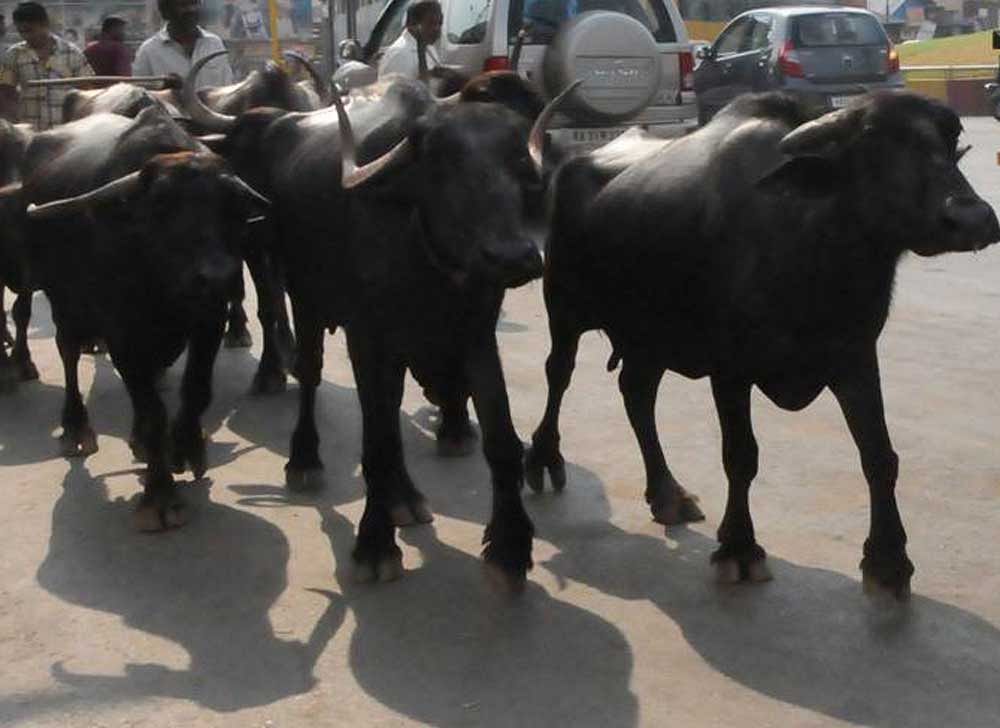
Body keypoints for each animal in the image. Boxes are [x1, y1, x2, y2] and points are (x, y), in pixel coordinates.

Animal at [528, 91, 996, 600]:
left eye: (949, 140)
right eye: (873, 140)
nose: (972, 218)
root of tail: (567, 165)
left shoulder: (854, 357)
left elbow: (879, 455)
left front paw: (889, 560)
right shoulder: (730, 369)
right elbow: (741, 456)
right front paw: (739, 547)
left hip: (649, 337)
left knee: (637, 393)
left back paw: (667, 492)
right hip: (564, 308)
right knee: (558, 374)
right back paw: (543, 458)